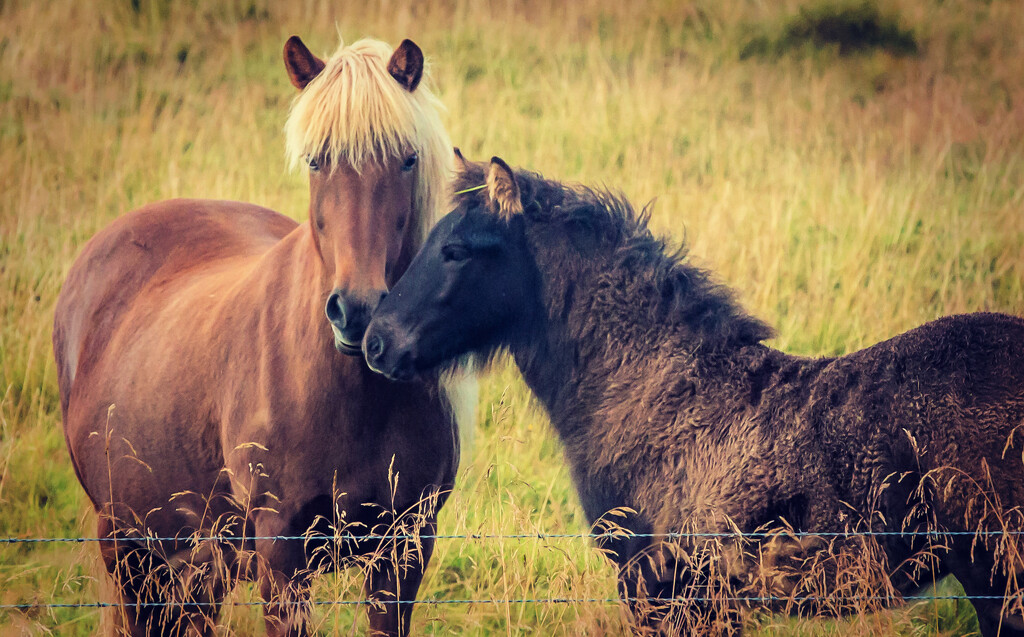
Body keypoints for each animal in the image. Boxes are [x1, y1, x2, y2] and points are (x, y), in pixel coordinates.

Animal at [51, 36, 471, 637]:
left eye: (408, 159)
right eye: (316, 160)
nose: (359, 310)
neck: (354, 399)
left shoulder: (405, 547)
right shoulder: (281, 549)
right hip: (127, 546)